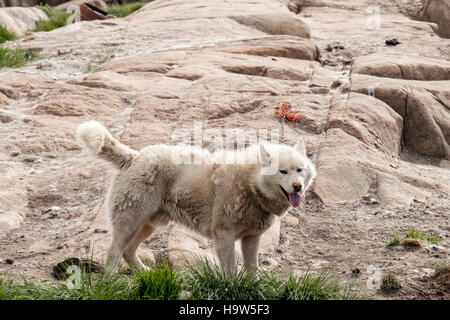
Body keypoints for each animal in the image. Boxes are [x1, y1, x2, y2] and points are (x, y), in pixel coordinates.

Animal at [76, 120, 316, 272]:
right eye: (283, 171)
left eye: (300, 170)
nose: (297, 187)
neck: (249, 184)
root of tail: (134, 157)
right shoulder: (224, 236)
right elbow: (230, 272)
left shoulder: (251, 239)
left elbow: (251, 270)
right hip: (130, 223)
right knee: (114, 252)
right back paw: (109, 282)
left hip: (149, 225)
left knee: (128, 251)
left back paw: (145, 273)